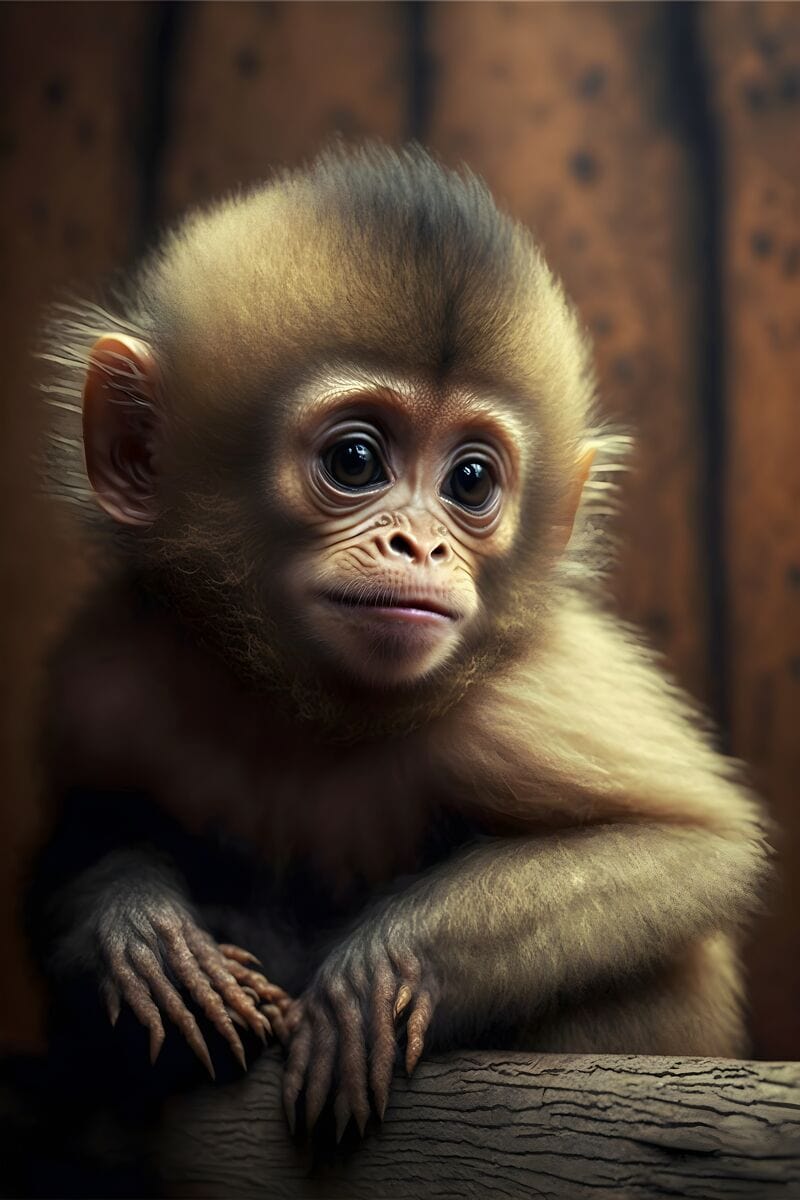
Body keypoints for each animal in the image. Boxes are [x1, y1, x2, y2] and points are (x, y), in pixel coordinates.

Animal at [29, 143, 767, 1146]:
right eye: (355, 462)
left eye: (470, 481)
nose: (422, 546)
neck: (303, 702)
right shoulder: (111, 663)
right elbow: (77, 836)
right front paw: (139, 937)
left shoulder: (526, 698)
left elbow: (693, 848)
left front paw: (379, 970)